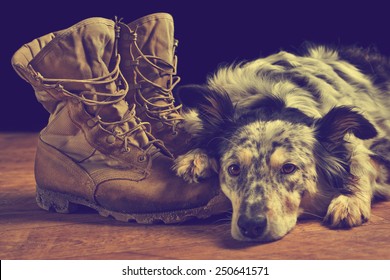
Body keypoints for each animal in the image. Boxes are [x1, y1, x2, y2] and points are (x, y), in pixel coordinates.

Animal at [172, 44, 390, 242]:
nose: (250, 226)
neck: (275, 100)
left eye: (288, 168)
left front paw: (350, 200)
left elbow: (362, 164)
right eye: (233, 169)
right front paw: (196, 157)